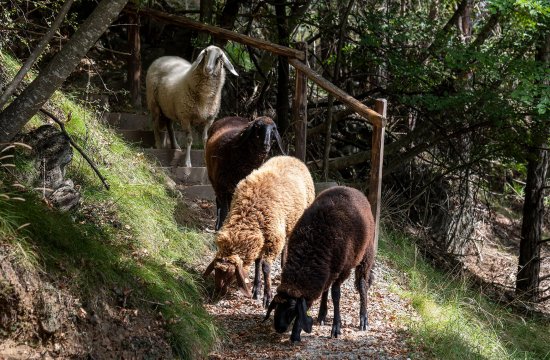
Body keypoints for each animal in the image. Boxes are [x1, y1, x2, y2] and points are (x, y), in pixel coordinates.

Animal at [266, 187, 378, 342]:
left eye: (291, 309)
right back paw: (322, 314)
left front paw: (336, 327)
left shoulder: (343, 269)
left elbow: (336, 295)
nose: (279, 328)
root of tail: (351, 188)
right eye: (277, 305)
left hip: (365, 255)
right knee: (326, 288)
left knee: (362, 285)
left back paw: (363, 319)